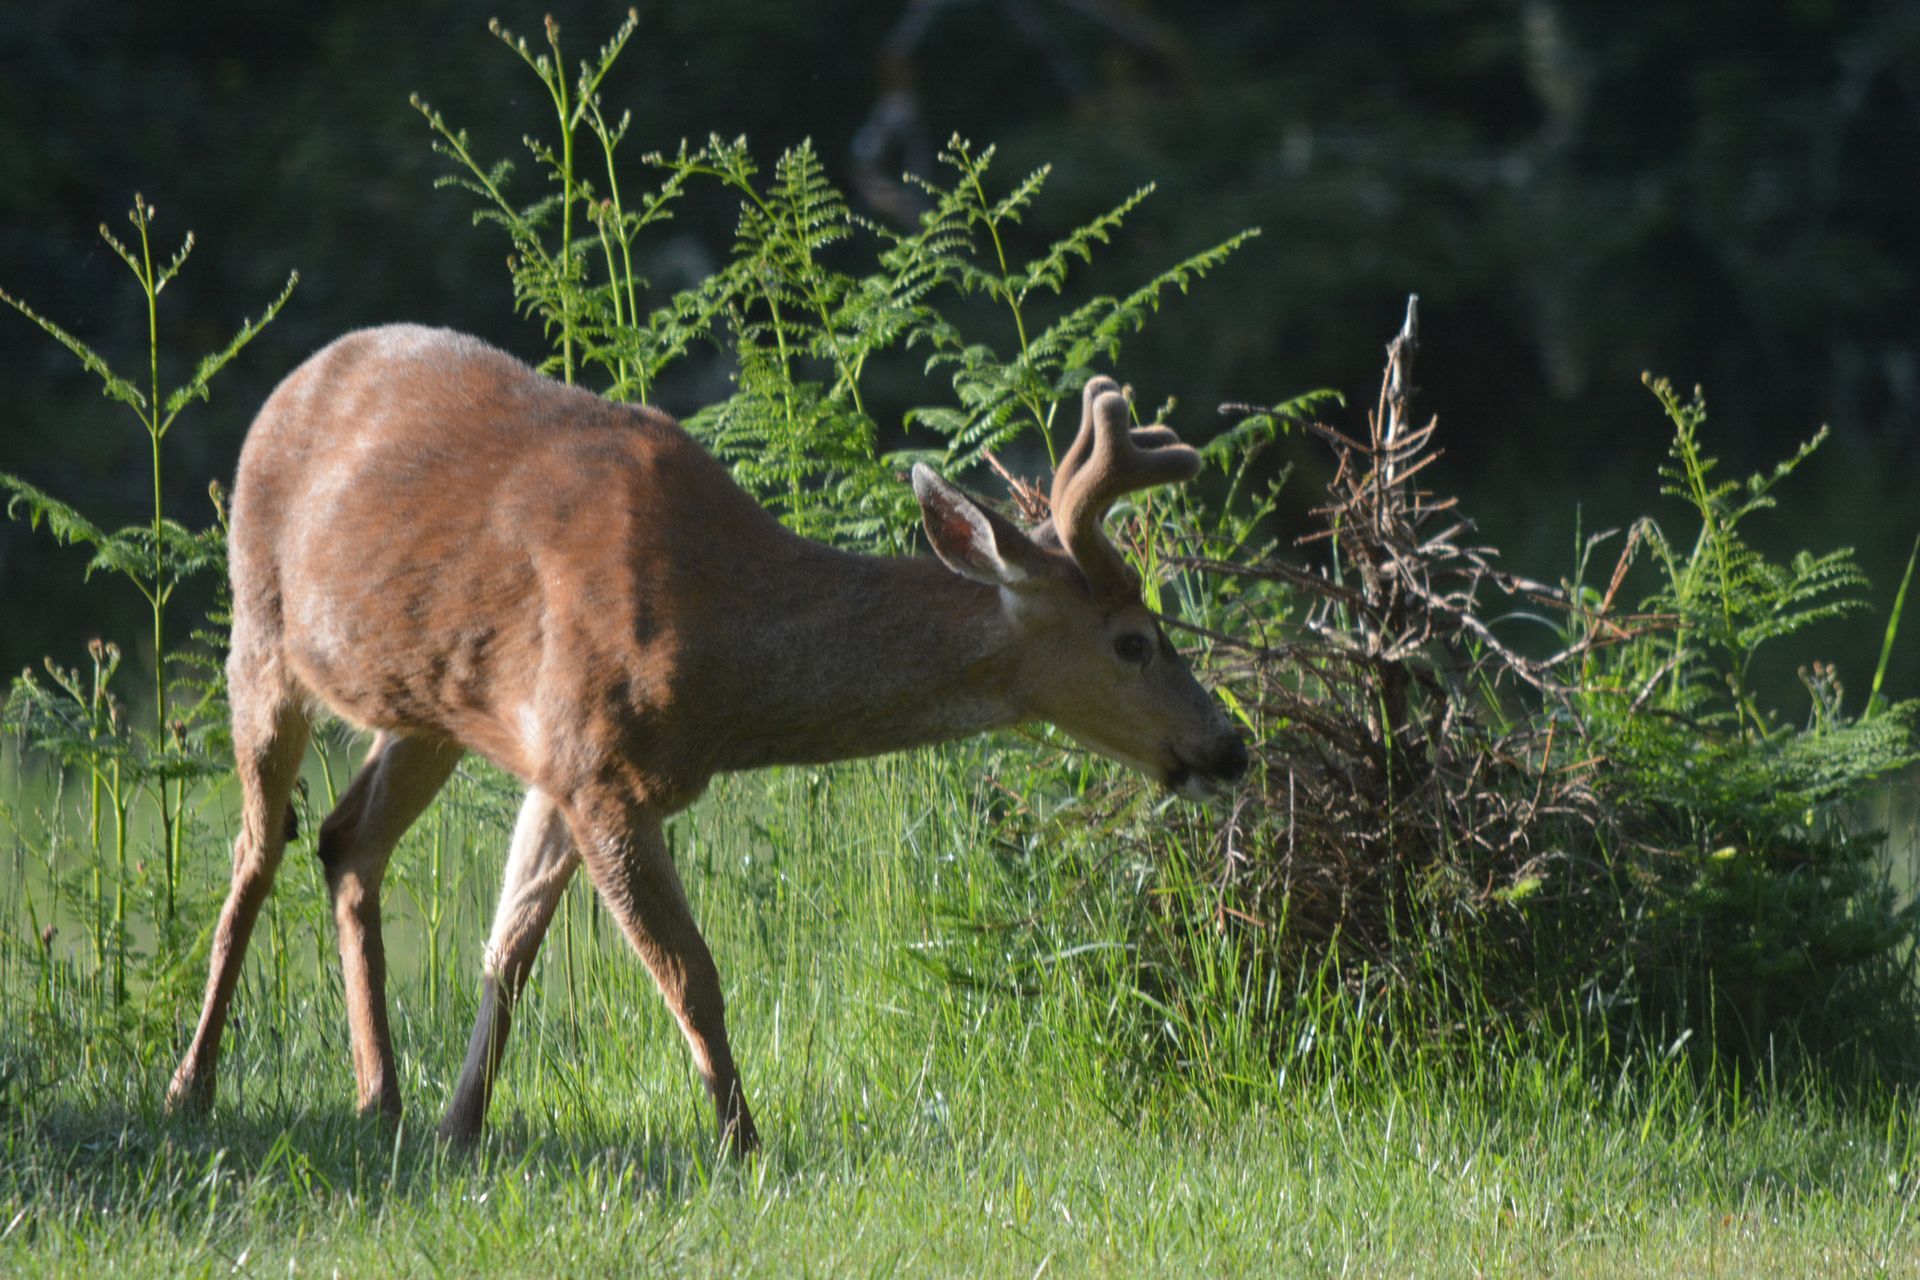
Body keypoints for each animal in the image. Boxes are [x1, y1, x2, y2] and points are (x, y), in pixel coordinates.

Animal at [164, 324, 1249, 1155]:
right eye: (1134, 639)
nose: (1229, 746)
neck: (725, 657)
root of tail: (297, 377)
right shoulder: (598, 766)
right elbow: (690, 973)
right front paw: (742, 1142)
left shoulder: (560, 763)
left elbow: (505, 948)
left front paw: (458, 1126)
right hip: (259, 632)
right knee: (255, 847)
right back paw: (192, 1086)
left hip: (426, 703)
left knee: (347, 841)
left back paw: (378, 1098)